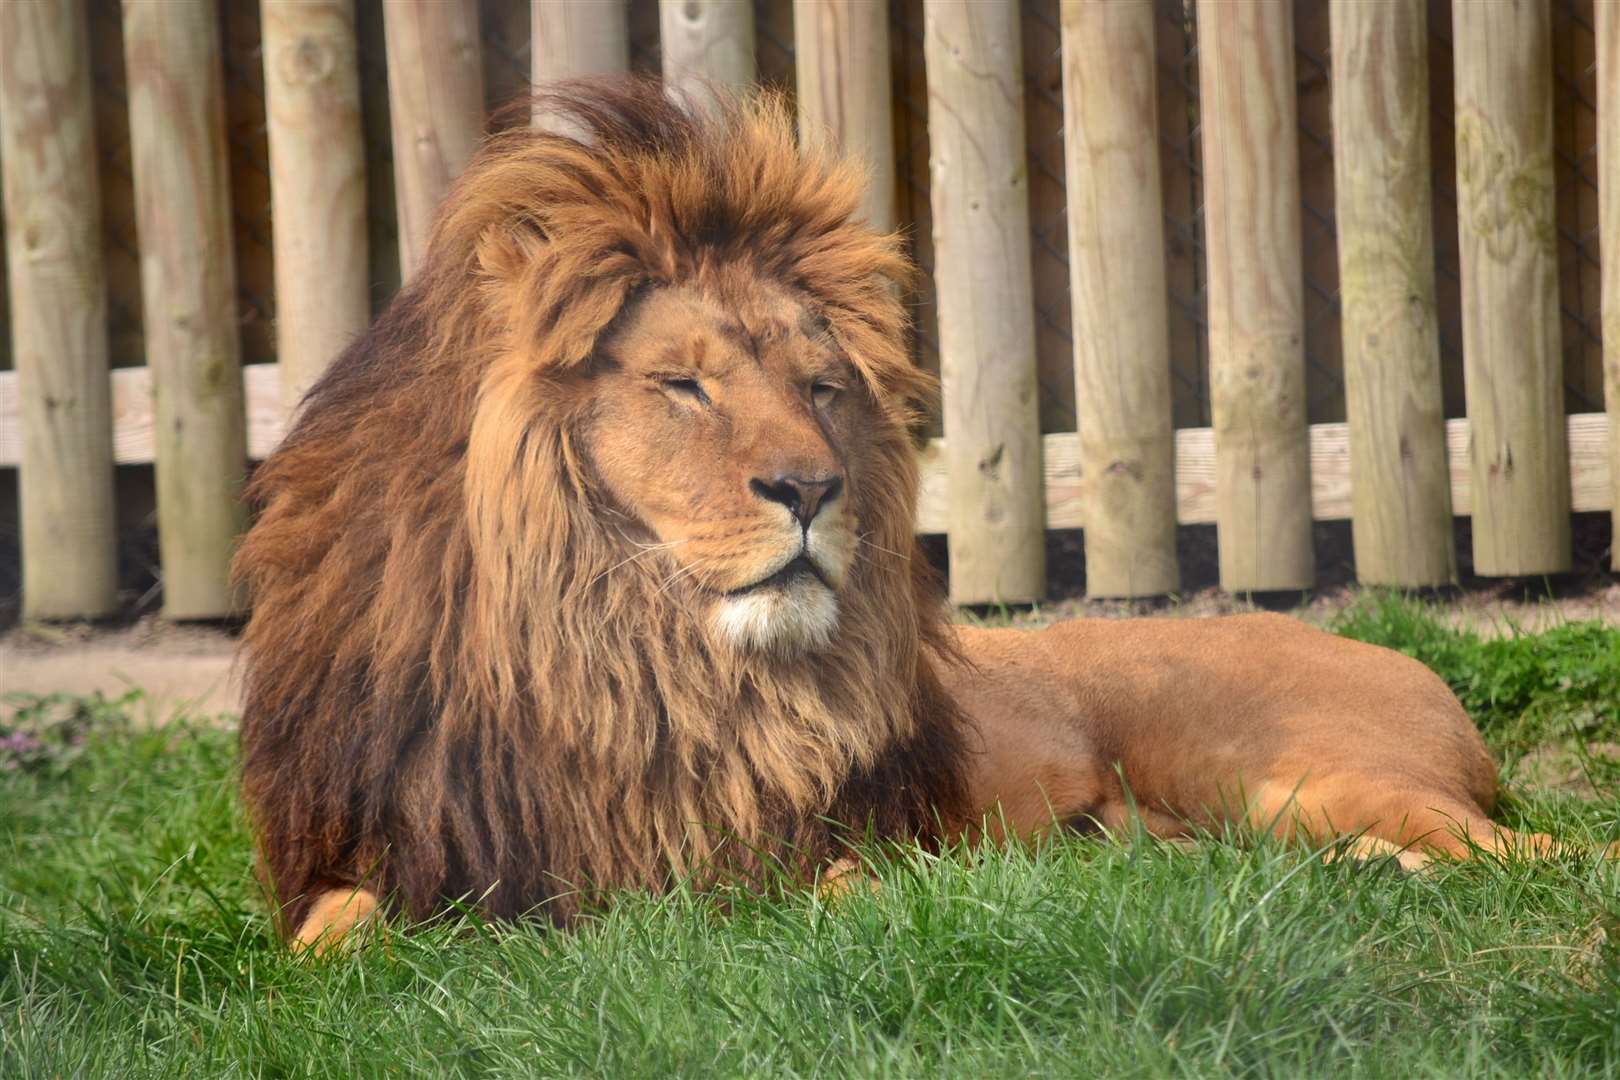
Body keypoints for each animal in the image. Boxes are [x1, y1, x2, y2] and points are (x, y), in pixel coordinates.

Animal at [234, 78, 1574, 952]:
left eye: (820, 386)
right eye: (682, 385)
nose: (812, 488)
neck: (621, 656)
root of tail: (1408, 661)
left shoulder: (781, 847)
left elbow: (834, 892)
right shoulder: (401, 858)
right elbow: (329, 938)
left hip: (1309, 780)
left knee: (1553, 860)